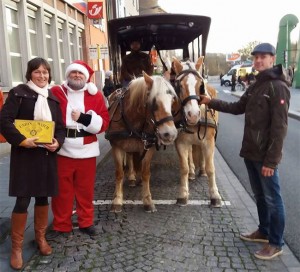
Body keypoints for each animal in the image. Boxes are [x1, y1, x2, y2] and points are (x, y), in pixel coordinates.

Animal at [105, 72, 178, 212]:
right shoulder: (116, 147)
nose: (170, 134)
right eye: (153, 102)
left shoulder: (149, 147)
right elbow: (119, 173)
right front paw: (117, 200)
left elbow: (145, 173)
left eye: (172, 100)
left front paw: (147, 200)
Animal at [171, 56, 223, 207]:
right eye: (180, 86)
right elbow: (183, 168)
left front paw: (215, 195)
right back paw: (192, 172)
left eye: (201, 85)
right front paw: (183, 194)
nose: (193, 115)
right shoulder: (181, 143)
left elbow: (211, 168)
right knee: (190, 154)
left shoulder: (209, 142)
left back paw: (202, 170)